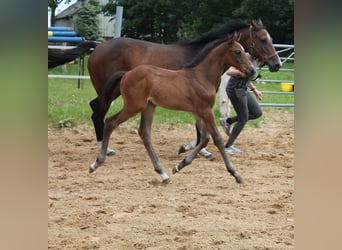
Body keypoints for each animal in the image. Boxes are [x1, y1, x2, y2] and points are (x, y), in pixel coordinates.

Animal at [91, 34, 256, 185]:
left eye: (244, 50)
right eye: (237, 52)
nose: (252, 71)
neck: (202, 76)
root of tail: (126, 74)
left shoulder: (197, 111)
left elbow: (204, 139)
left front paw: (179, 165)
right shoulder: (205, 111)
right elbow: (217, 139)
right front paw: (235, 174)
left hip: (149, 106)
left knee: (144, 133)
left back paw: (162, 173)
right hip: (134, 106)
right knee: (110, 121)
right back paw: (97, 162)